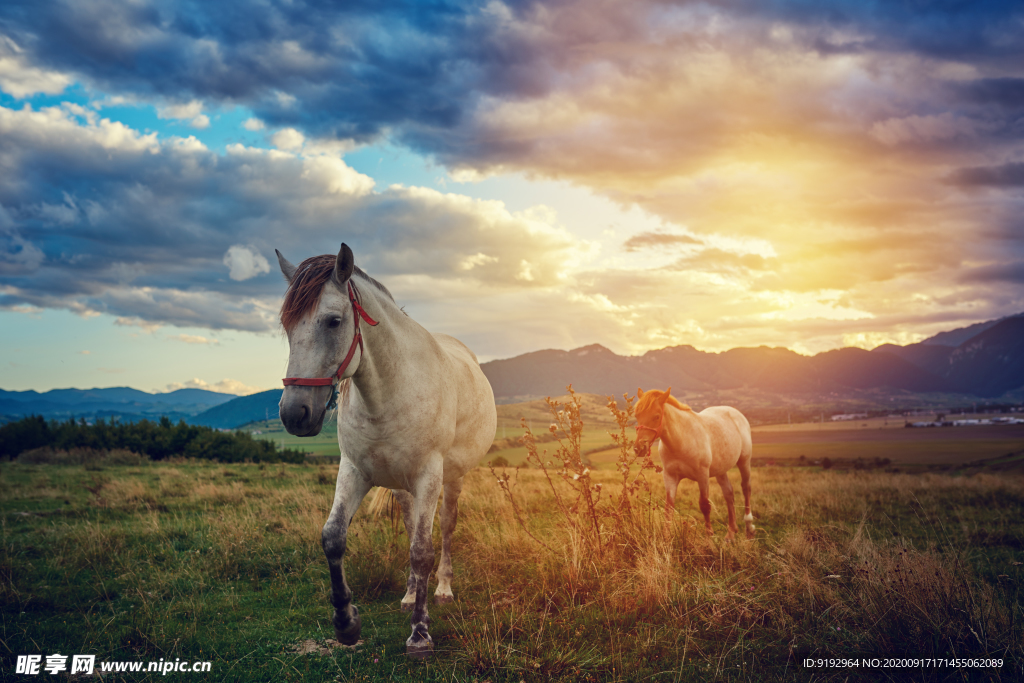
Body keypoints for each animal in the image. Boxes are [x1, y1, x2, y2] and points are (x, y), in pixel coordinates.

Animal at [272, 244, 495, 655]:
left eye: (333, 321)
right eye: (287, 326)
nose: (295, 414)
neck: (390, 391)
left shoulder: (429, 475)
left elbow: (423, 549)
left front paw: (420, 634)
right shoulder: (354, 470)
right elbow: (333, 537)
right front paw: (346, 623)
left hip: (452, 479)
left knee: (445, 528)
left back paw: (442, 589)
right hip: (400, 484)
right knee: (409, 525)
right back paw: (409, 595)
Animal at [630, 389, 753, 540]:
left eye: (657, 416)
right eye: (637, 415)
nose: (639, 448)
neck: (681, 440)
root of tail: (736, 412)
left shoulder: (702, 476)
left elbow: (705, 505)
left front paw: (709, 537)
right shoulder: (670, 476)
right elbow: (669, 507)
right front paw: (666, 538)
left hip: (744, 461)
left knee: (746, 488)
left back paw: (749, 528)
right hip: (721, 470)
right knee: (729, 493)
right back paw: (730, 533)